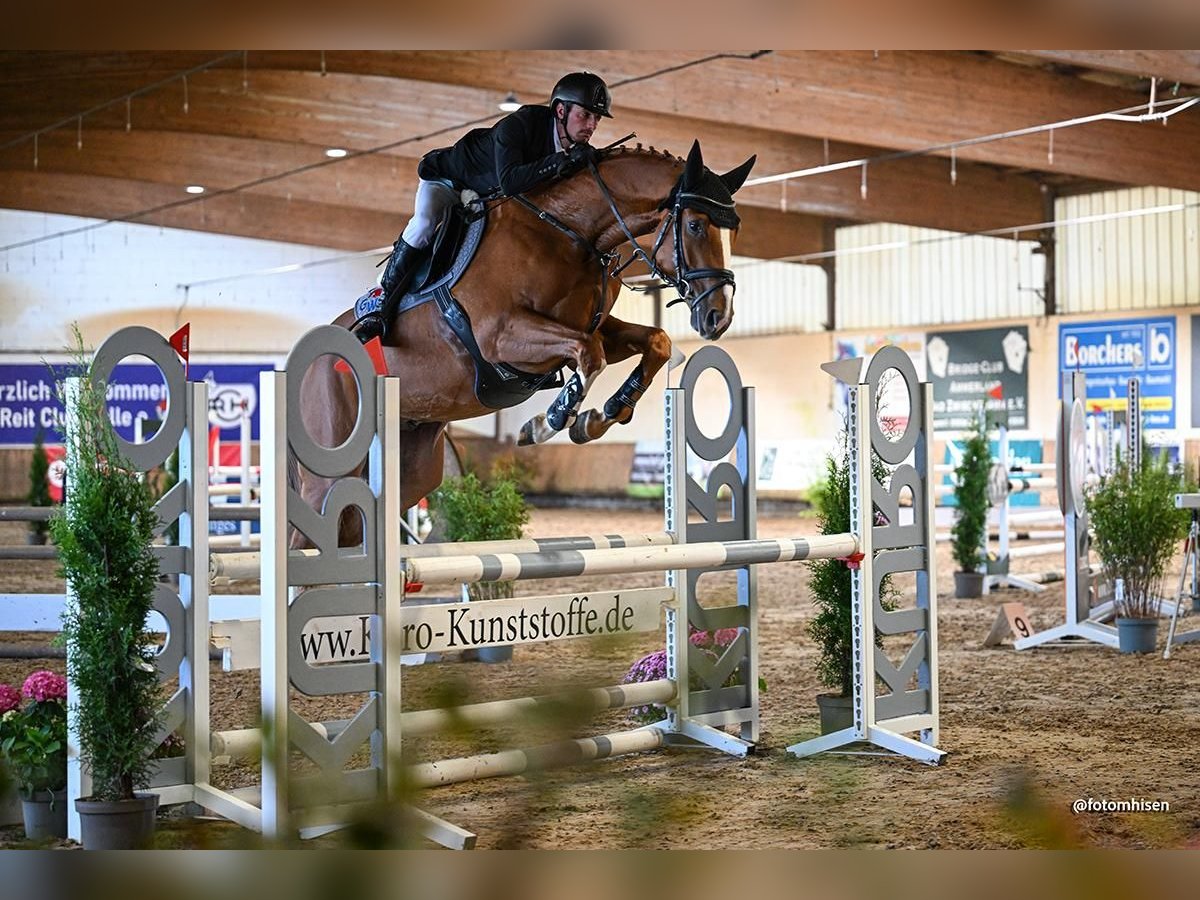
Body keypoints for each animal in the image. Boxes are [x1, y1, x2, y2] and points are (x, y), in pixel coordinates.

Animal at [295, 141, 753, 549]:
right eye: (694, 225)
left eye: (734, 230)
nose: (719, 317)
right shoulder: (502, 337)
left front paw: (604, 414)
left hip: (413, 465)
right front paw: (550, 421)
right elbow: (590, 355)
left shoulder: (594, 327)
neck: (572, 233)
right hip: (328, 471)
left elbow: (653, 342)